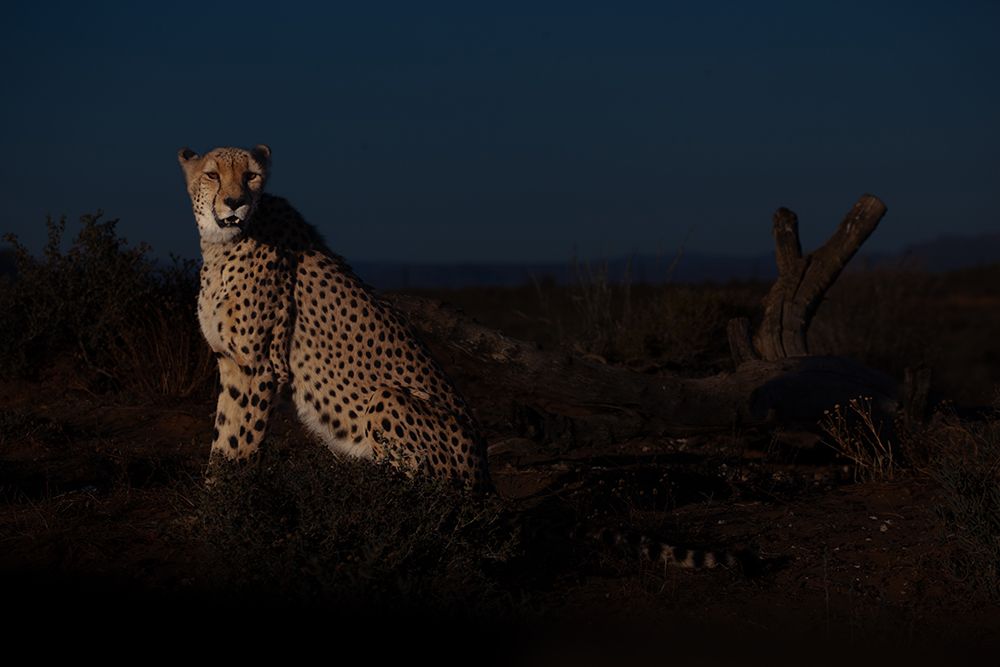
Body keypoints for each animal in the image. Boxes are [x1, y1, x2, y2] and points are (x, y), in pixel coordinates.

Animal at [178, 144, 490, 489]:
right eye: (212, 175)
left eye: (251, 176)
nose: (236, 202)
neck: (221, 245)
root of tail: (484, 473)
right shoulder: (230, 361)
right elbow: (224, 436)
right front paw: (211, 493)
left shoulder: (257, 367)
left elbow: (239, 442)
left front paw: (230, 496)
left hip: (388, 398)